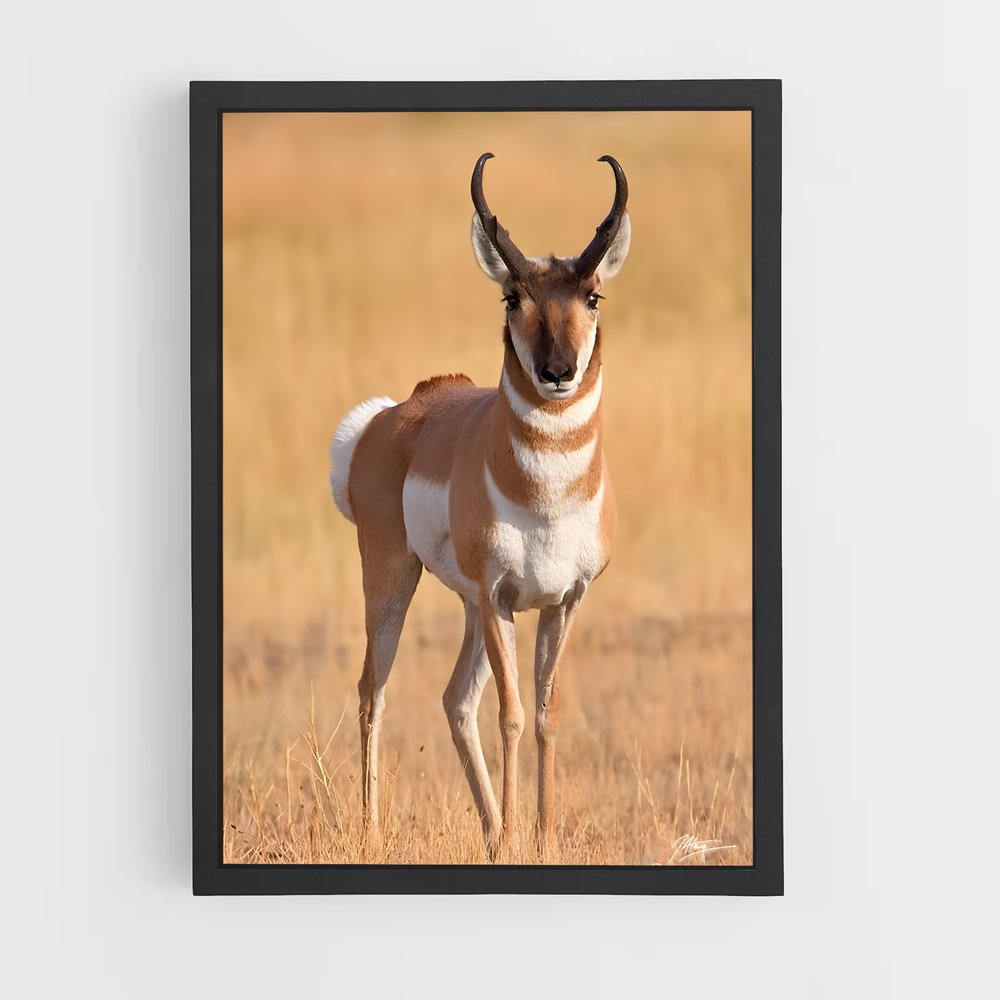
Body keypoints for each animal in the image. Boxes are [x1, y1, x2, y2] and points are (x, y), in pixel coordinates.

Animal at [329, 152, 631, 861]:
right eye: (512, 296)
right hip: (394, 580)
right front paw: (522, 836)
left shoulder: (560, 601)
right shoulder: (501, 599)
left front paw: (541, 839)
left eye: (593, 296)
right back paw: (375, 832)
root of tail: (392, 415)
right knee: (373, 691)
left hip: (467, 606)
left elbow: (546, 715)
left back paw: (491, 832)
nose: (558, 371)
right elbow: (513, 715)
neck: (545, 498)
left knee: (454, 700)